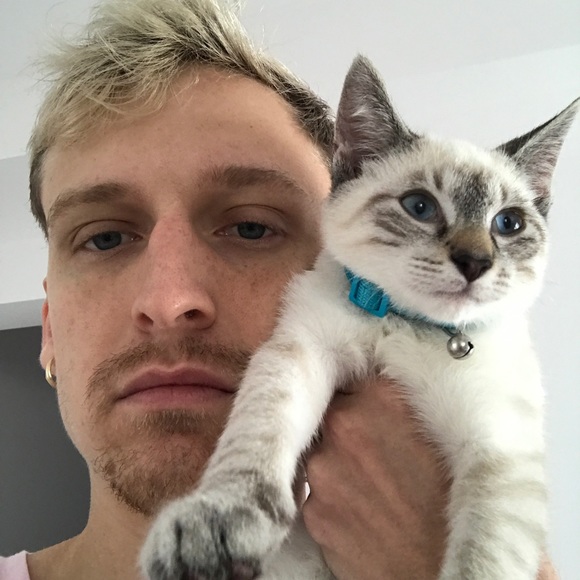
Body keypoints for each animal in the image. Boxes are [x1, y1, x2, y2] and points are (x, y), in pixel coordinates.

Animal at [142, 55, 579, 580]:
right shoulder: (302, 351)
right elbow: (257, 434)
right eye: (420, 207)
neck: (406, 323)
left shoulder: (498, 449)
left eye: (508, 224)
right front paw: (215, 522)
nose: (475, 262)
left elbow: (483, 559)